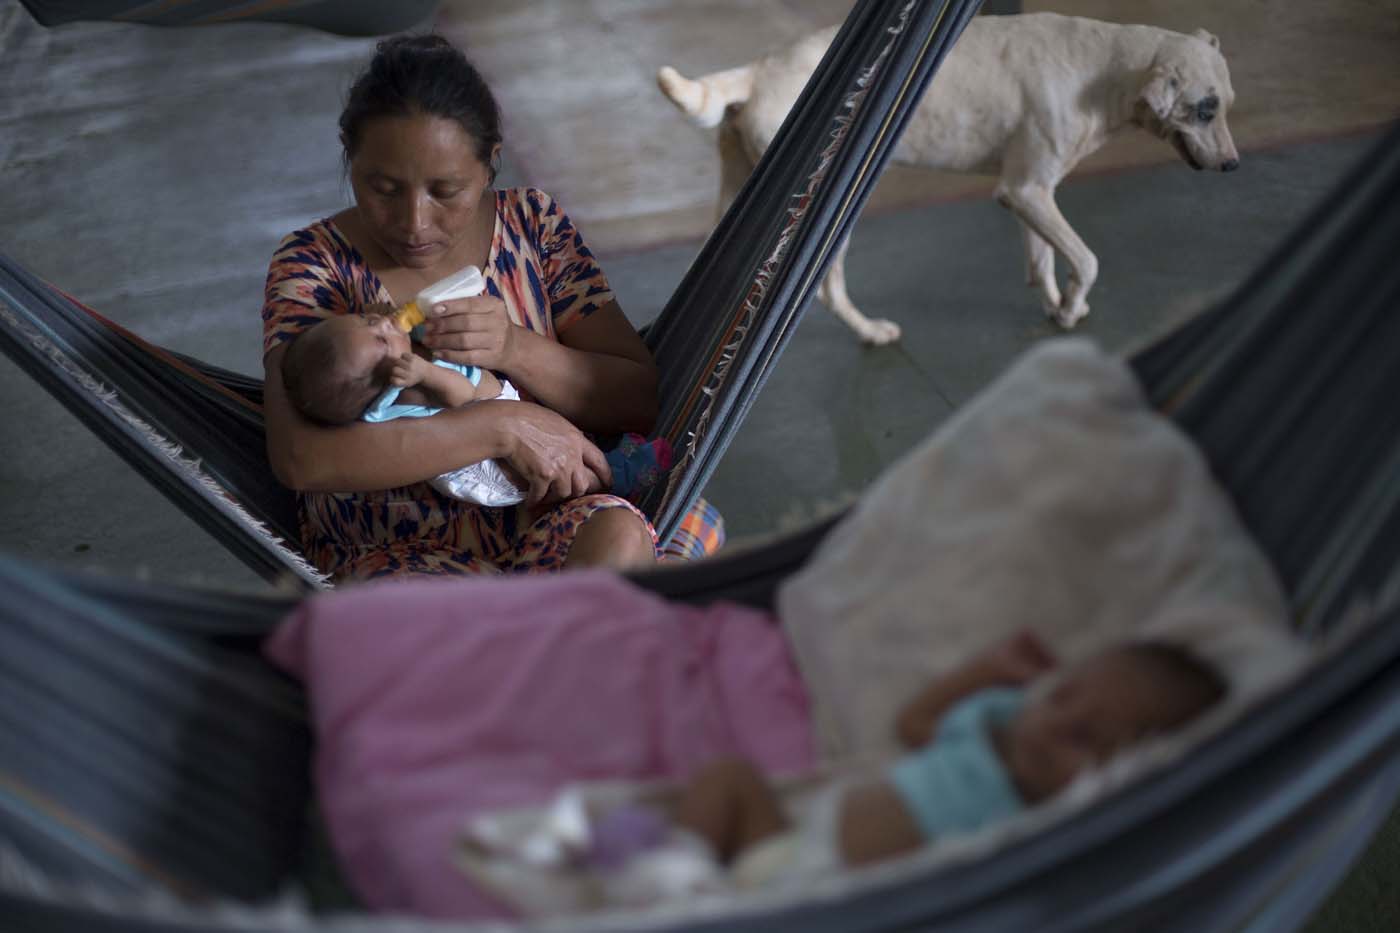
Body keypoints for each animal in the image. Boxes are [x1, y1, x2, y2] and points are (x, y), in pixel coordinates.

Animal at [655, 11, 1237, 341]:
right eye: (1204, 110)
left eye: (1226, 104)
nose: (1234, 166)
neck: (1108, 71)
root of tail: (758, 70)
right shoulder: (1026, 190)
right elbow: (1087, 260)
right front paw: (1072, 307)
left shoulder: (1029, 194)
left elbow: (1043, 260)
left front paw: (1058, 308)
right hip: (827, 230)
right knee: (827, 293)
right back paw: (871, 333)